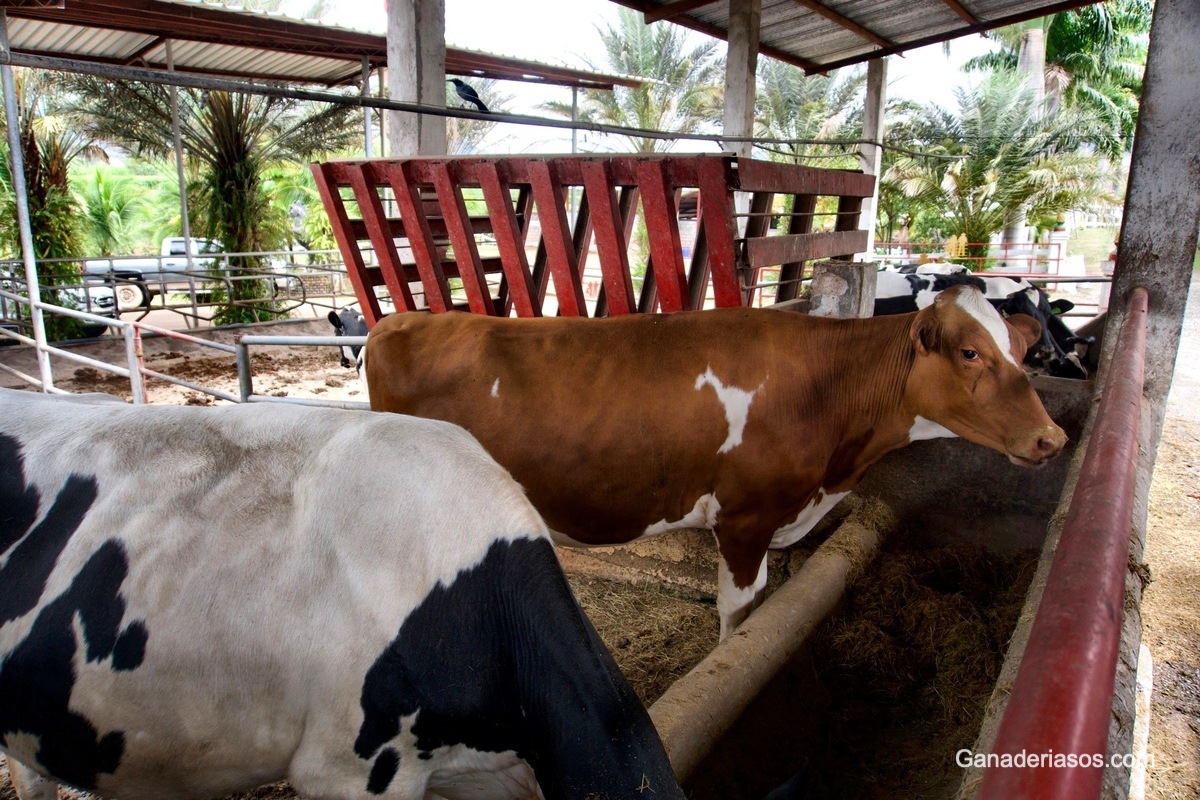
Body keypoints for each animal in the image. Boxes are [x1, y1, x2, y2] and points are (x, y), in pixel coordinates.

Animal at [367, 286, 1070, 638]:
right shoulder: (744, 519)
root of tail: (397, 323)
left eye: (1021, 352)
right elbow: (741, 608)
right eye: (971, 353)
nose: (1052, 438)